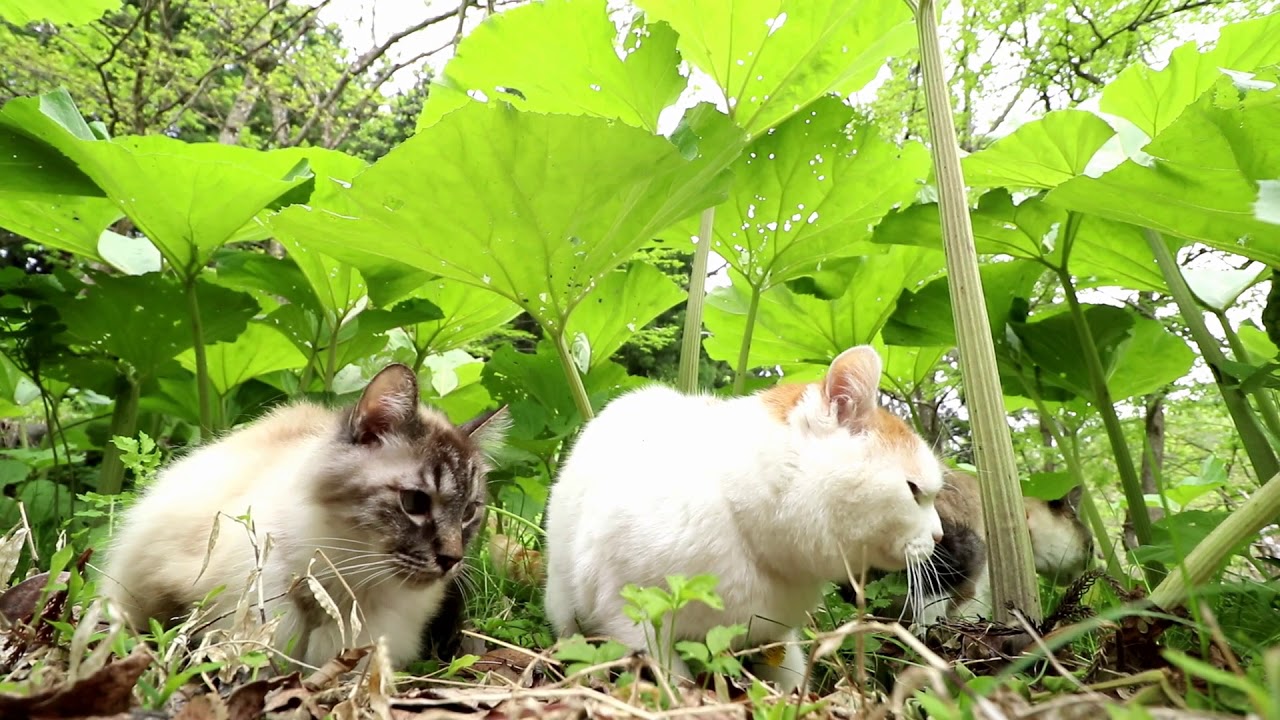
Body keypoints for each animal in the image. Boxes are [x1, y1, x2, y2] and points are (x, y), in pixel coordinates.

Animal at [545, 345, 947, 691]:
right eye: (914, 490)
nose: (939, 536)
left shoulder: (775, 635)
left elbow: (790, 676)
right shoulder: (631, 615)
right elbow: (673, 677)